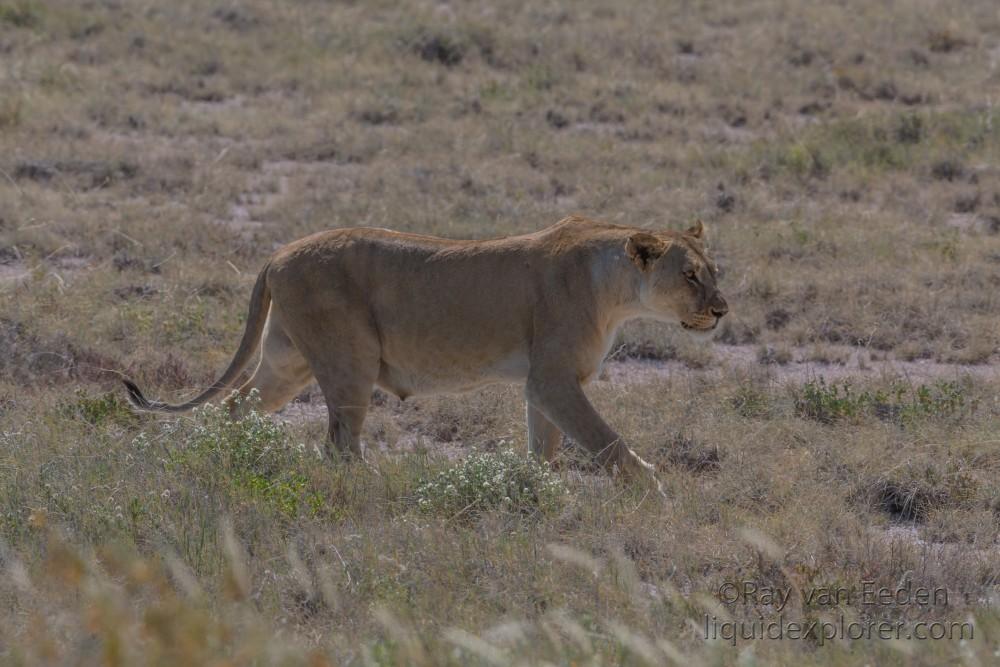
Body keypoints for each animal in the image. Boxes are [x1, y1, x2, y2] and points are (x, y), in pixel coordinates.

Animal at [125, 217, 728, 494]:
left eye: (714, 271)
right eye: (689, 275)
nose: (722, 310)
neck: (616, 290)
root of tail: (278, 252)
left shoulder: (544, 385)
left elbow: (544, 448)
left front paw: (537, 493)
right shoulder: (554, 378)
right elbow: (606, 441)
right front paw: (656, 489)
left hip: (286, 361)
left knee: (238, 406)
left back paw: (231, 457)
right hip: (350, 361)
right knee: (339, 445)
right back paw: (372, 489)